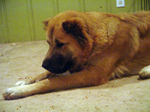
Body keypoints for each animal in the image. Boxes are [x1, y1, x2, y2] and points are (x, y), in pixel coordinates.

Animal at [2, 10, 150, 100]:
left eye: (60, 44)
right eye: (48, 43)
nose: (43, 64)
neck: (94, 42)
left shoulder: (92, 74)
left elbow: (53, 81)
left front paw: (18, 91)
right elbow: (45, 74)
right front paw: (25, 81)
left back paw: (146, 70)